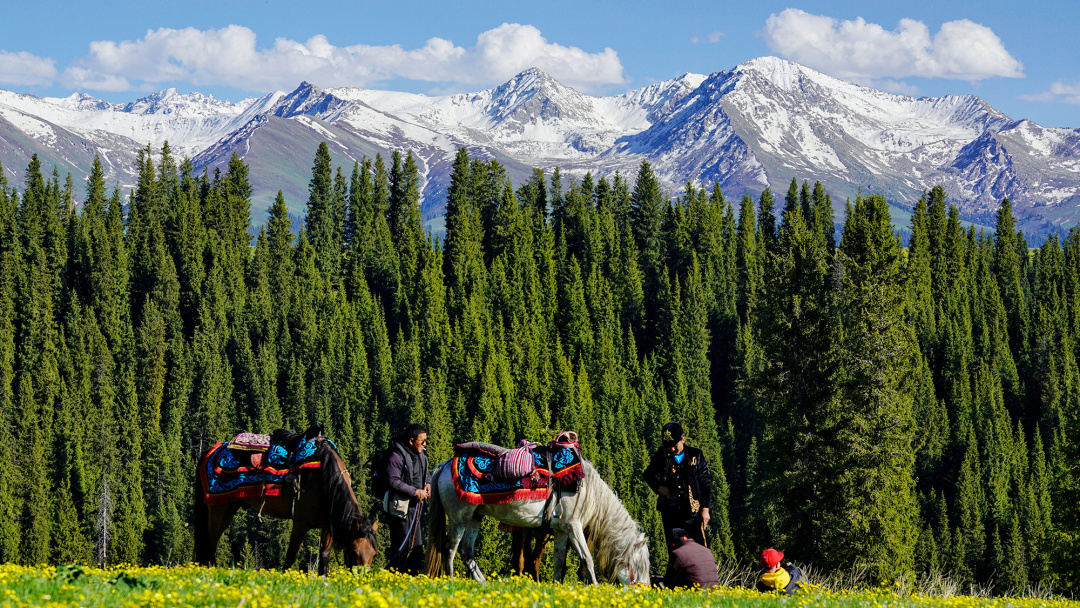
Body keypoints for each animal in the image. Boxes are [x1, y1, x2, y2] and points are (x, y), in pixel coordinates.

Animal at [192, 436, 378, 574]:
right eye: (354, 552)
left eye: (373, 554)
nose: (362, 578)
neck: (326, 481)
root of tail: (212, 450)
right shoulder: (300, 523)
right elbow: (291, 555)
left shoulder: (328, 526)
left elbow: (324, 556)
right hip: (218, 509)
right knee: (210, 540)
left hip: (229, 507)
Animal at [425, 457, 652, 583]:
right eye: (639, 565)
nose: (644, 589)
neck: (588, 491)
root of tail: (445, 466)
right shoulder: (574, 527)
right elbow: (587, 559)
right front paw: (595, 587)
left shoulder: (561, 531)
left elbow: (559, 563)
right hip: (459, 518)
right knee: (450, 549)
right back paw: (451, 580)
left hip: (475, 518)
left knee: (467, 551)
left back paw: (482, 582)